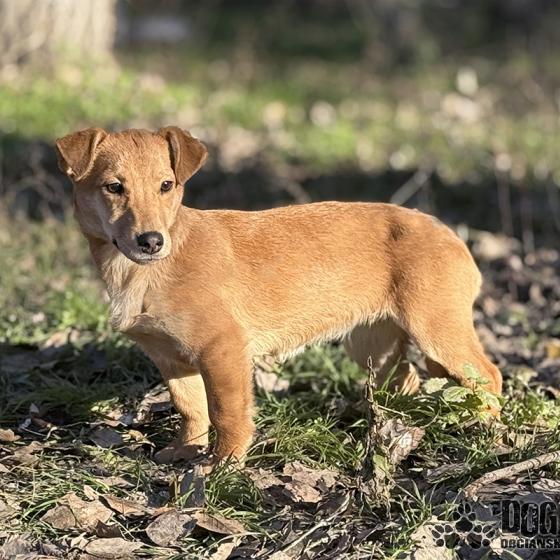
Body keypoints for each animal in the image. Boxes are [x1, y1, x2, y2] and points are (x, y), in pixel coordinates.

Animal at [55, 126, 502, 467]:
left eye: (167, 186)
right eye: (114, 187)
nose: (151, 241)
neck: (140, 272)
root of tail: (452, 236)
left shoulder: (223, 350)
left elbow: (226, 412)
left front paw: (223, 465)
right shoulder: (170, 358)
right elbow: (191, 408)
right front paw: (185, 451)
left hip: (436, 329)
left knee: (488, 376)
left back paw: (485, 432)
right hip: (372, 343)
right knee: (406, 378)